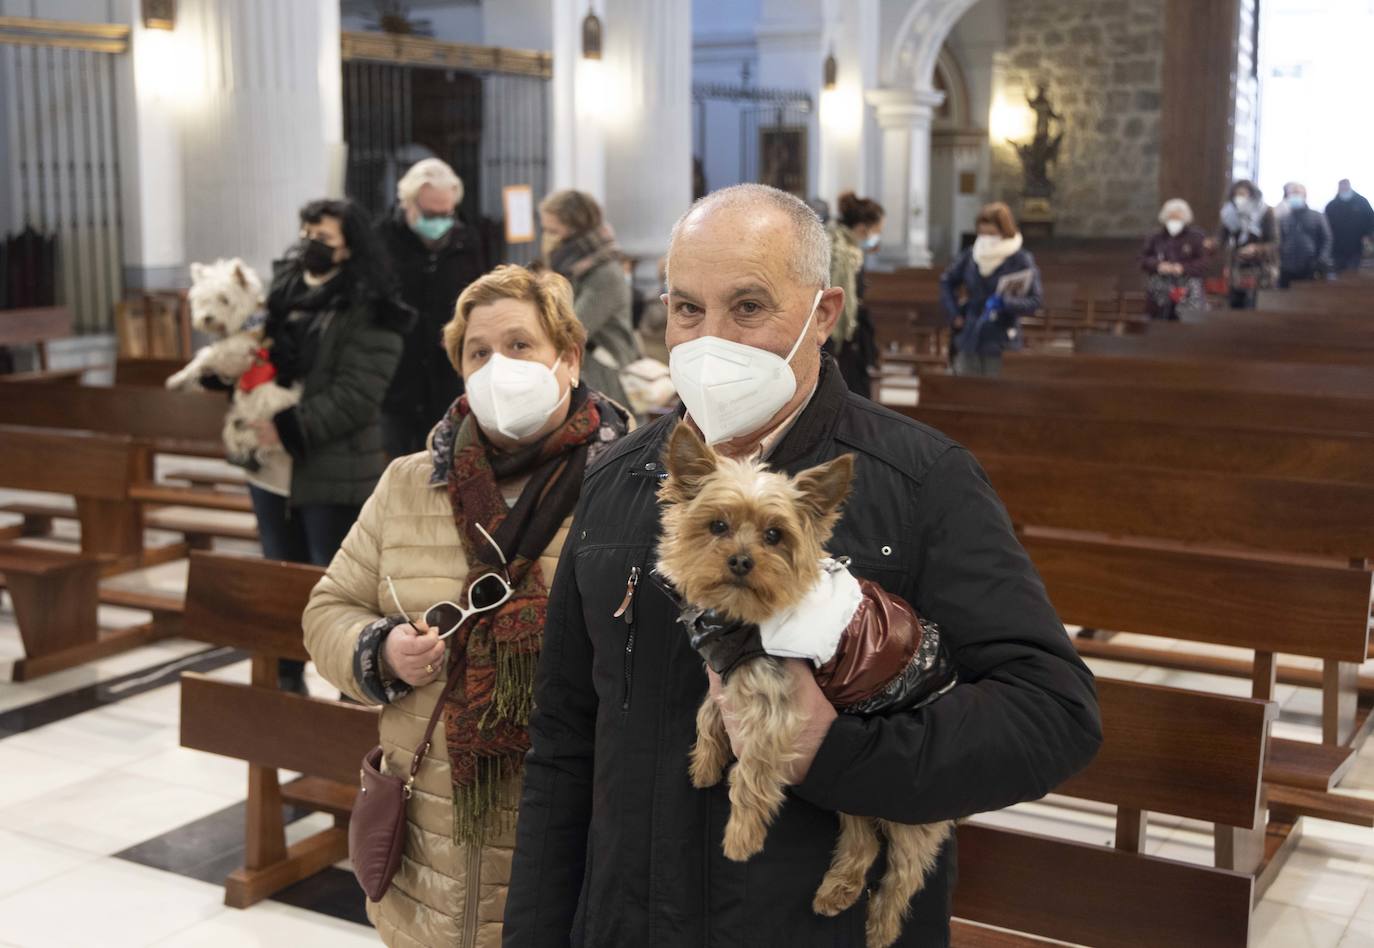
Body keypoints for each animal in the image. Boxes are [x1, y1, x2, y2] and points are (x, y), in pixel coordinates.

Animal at [164, 256, 302, 480]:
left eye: (224, 300)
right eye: (204, 300)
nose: (207, 318)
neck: (245, 322)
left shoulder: (234, 353)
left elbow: (202, 357)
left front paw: (177, 379)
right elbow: (204, 361)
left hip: (264, 406)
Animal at [656, 420, 956, 945]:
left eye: (774, 535)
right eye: (717, 526)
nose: (741, 560)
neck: (742, 618)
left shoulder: (777, 706)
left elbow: (750, 774)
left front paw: (741, 837)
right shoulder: (730, 672)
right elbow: (708, 712)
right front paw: (705, 764)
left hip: (906, 804)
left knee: (904, 870)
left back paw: (881, 927)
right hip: (854, 782)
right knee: (862, 839)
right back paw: (836, 892)